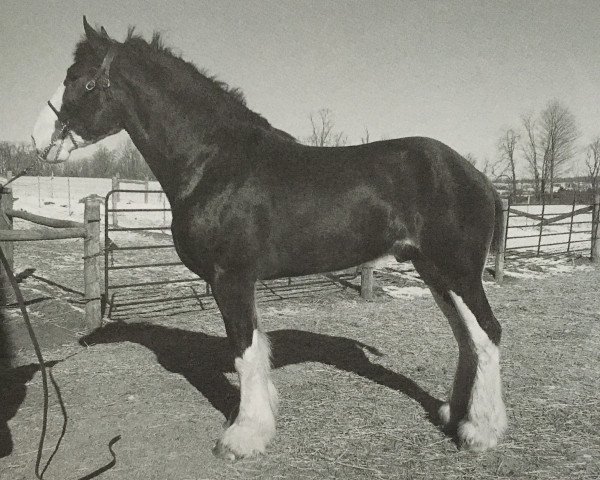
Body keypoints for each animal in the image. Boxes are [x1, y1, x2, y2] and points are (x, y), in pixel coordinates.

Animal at [32, 17, 506, 462]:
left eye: (77, 78)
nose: (38, 140)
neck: (214, 161)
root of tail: (477, 176)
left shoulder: (230, 279)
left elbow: (243, 351)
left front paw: (243, 437)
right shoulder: (239, 282)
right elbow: (257, 348)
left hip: (459, 273)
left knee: (487, 334)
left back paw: (480, 432)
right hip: (434, 272)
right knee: (467, 339)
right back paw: (454, 415)